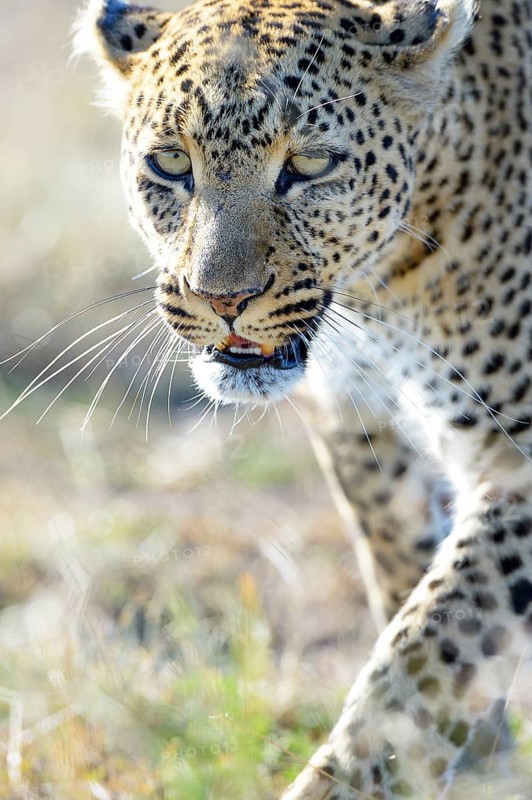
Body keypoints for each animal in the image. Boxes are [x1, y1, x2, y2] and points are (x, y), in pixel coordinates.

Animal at [78, 0, 532, 797]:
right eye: (171, 163)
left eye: (311, 165)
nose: (222, 300)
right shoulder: (359, 423)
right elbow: (416, 592)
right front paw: (479, 761)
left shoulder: (518, 459)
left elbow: (429, 647)